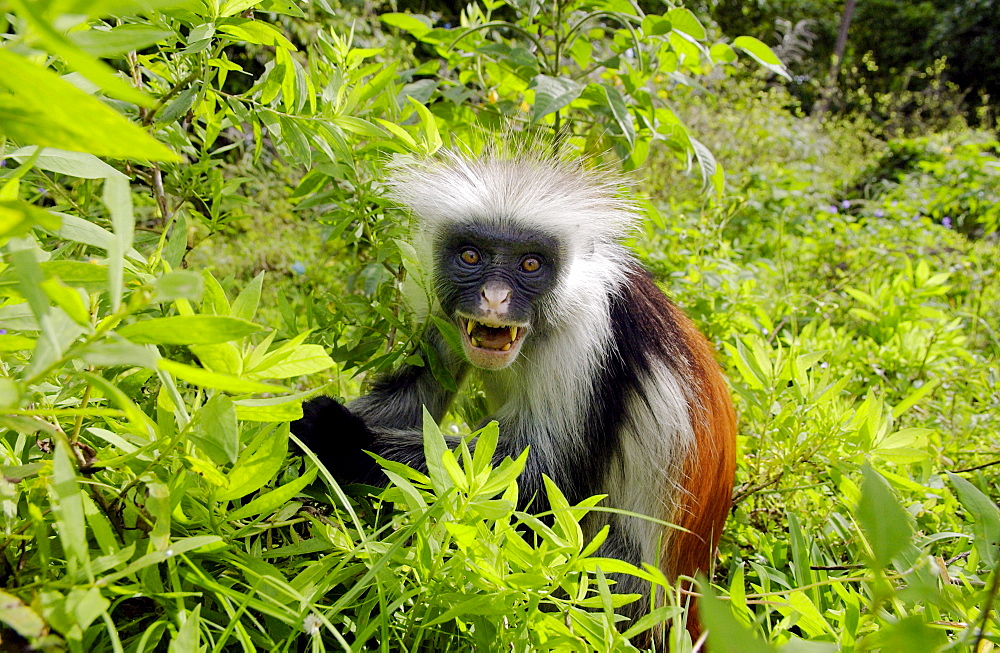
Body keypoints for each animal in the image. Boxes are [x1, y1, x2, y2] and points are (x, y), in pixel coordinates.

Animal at [292, 154, 740, 640]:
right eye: (470, 255)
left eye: (530, 263)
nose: (493, 299)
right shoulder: (439, 307)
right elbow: (414, 397)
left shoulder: (586, 339)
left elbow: (538, 480)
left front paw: (335, 434)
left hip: (627, 586)